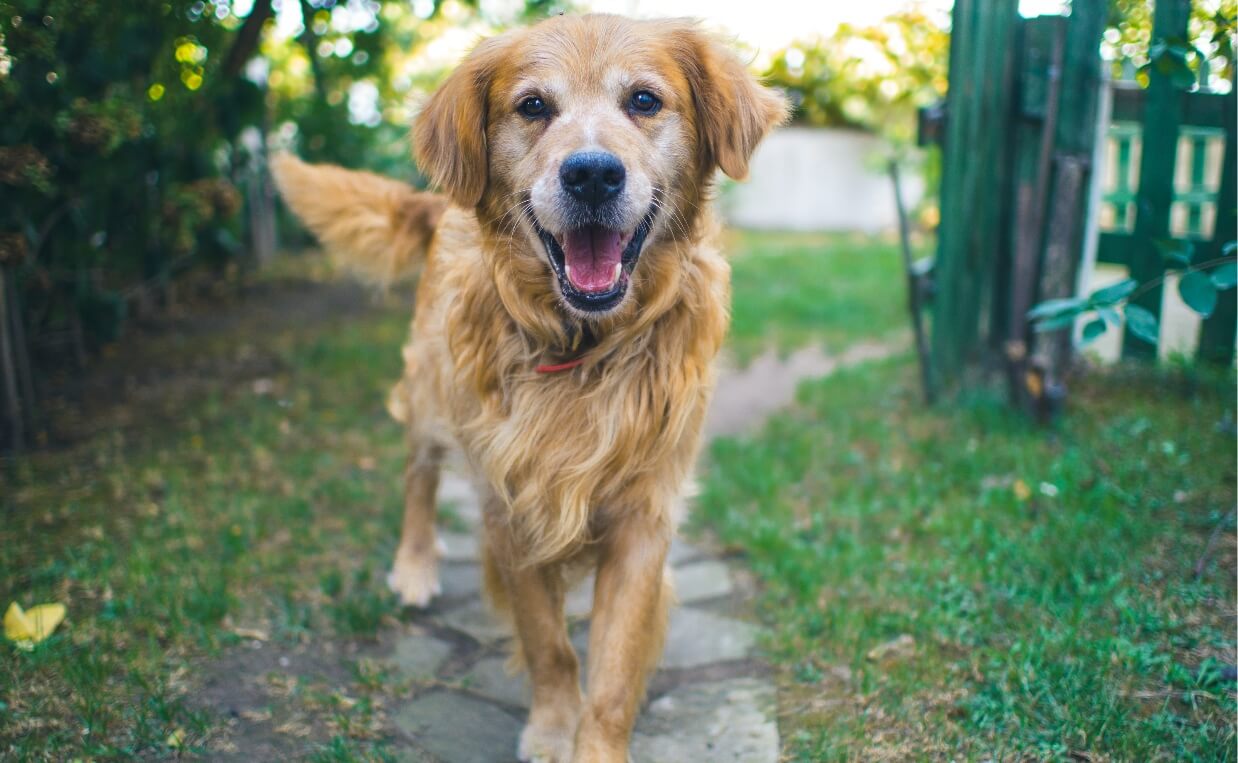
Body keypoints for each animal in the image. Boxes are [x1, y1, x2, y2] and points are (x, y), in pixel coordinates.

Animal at [277, 13, 787, 763]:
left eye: (644, 100)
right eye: (533, 106)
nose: (593, 174)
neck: (584, 348)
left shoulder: (644, 516)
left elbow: (612, 671)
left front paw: (593, 742)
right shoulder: (508, 506)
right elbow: (548, 643)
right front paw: (551, 727)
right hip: (430, 395)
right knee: (418, 476)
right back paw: (415, 565)